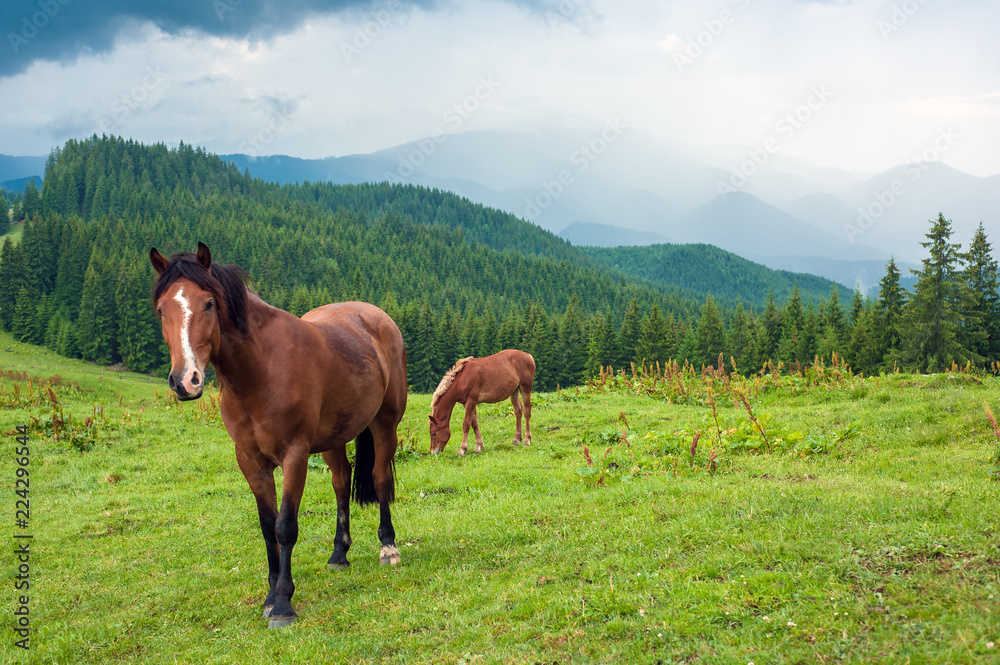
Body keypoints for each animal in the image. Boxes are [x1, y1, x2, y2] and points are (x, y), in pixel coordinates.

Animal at [149, 244, 406, 628]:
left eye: (208, 304)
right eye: (162, 309)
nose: (186, 381)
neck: (261, 370)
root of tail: (377, 317)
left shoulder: (294, 455)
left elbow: (286, 527)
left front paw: (284, 604)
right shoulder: (251, 462)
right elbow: (267, 526)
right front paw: (270, 597)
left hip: (384, 424)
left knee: (379, 478)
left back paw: (388, 547)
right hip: (333, 439)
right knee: (341, 481)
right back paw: (339, 553)